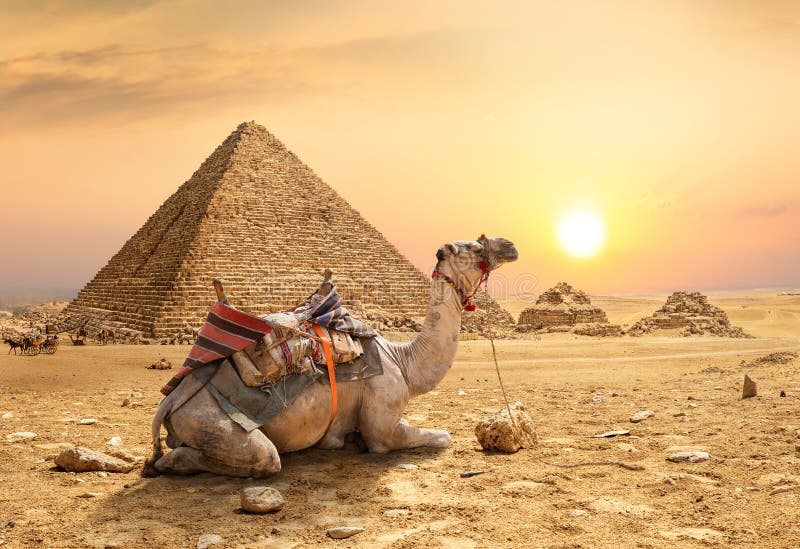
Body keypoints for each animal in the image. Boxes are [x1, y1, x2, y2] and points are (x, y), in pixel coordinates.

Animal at [143, 236, 518, 477]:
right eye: (476, 247)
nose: (510, 245)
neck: (404, 361)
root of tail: (171, 400)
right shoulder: (383, 424)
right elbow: (441, 437)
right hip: (212, 422)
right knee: (263, 459)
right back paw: (169, 463)